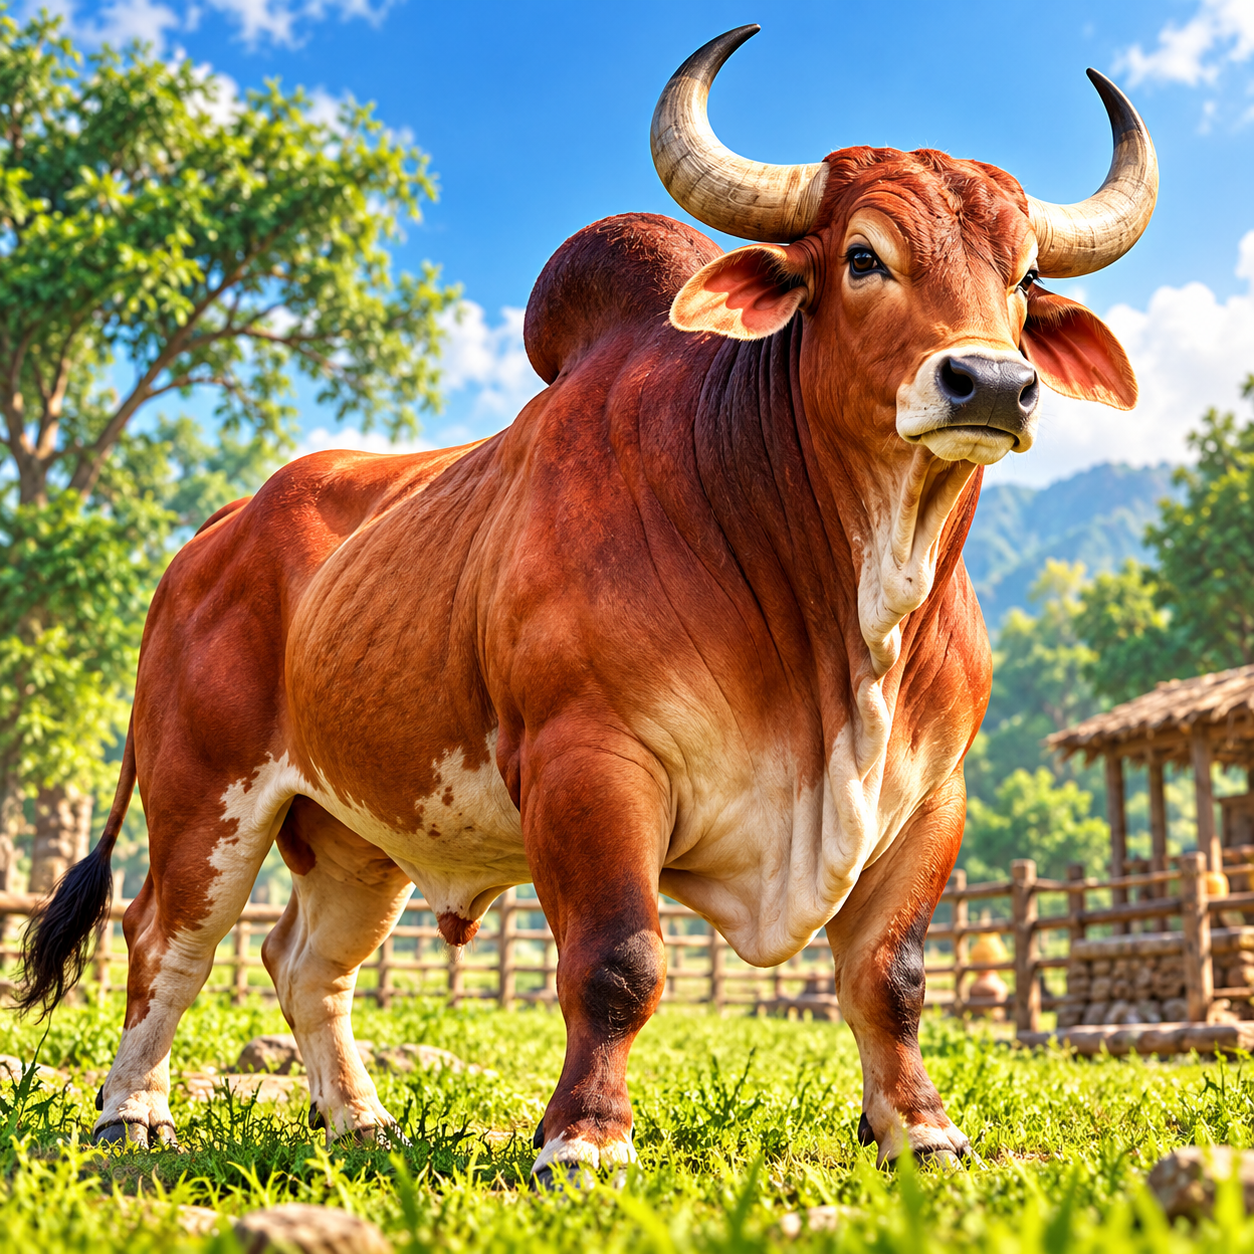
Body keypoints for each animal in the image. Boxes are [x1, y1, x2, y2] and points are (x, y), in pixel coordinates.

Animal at [18, 25, 1155, 1181]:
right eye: (862, 256)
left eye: (1023, 276)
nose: (992, 384)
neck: (846, 622)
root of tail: (213, 534)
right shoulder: (591, 762)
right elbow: (617, 963)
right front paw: (586, 1139)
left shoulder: (931, 798)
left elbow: (892, 976)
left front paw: (920, 1130)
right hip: (204, 795)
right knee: (166, 941)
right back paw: (133, 1112)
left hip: (355, 828)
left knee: (304, 961)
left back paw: (362, 1121)